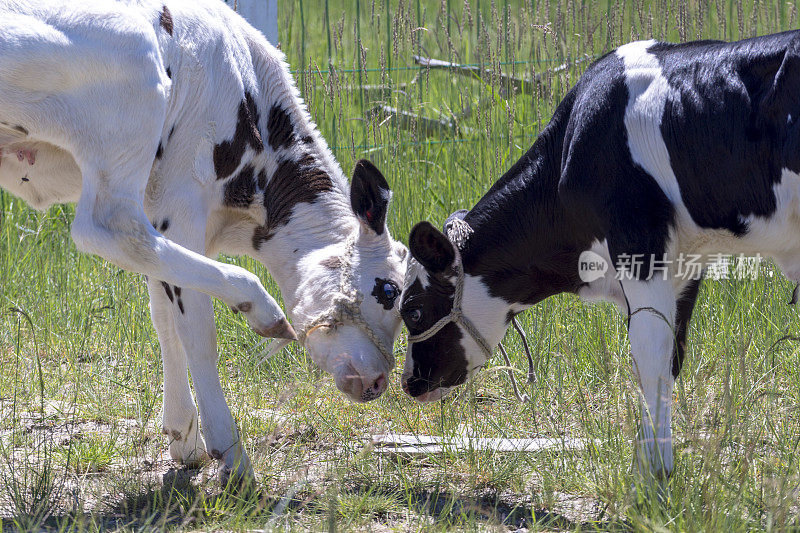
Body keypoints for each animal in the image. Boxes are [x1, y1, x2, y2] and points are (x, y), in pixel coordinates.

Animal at [1, 0, 406, 482]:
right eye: (389, 290)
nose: (379, 381)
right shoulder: (181, 201)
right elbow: (196, 329)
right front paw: (230, 452)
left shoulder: (162, 210)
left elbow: (164, 316)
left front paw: (183, 437)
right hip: (136, 88)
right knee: (106, 226)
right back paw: (260, 305)